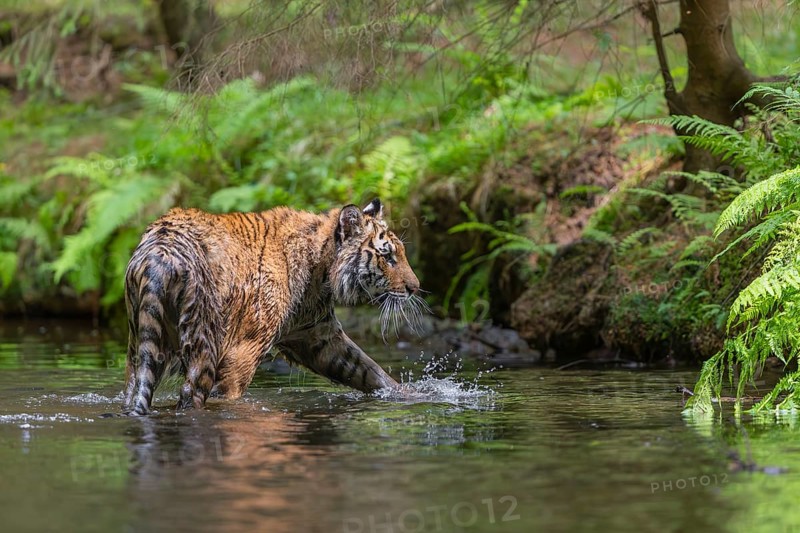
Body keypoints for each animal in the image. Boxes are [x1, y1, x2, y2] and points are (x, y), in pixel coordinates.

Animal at [122, 198, 425, 415]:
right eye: (387, 257)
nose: (415, 287)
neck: (321, 270)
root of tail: (160, 252)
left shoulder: (317, 335)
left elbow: (370, 370)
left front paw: (414, 395)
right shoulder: (243, 351)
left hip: (140, 345)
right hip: (204, 345)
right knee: (190, 395)